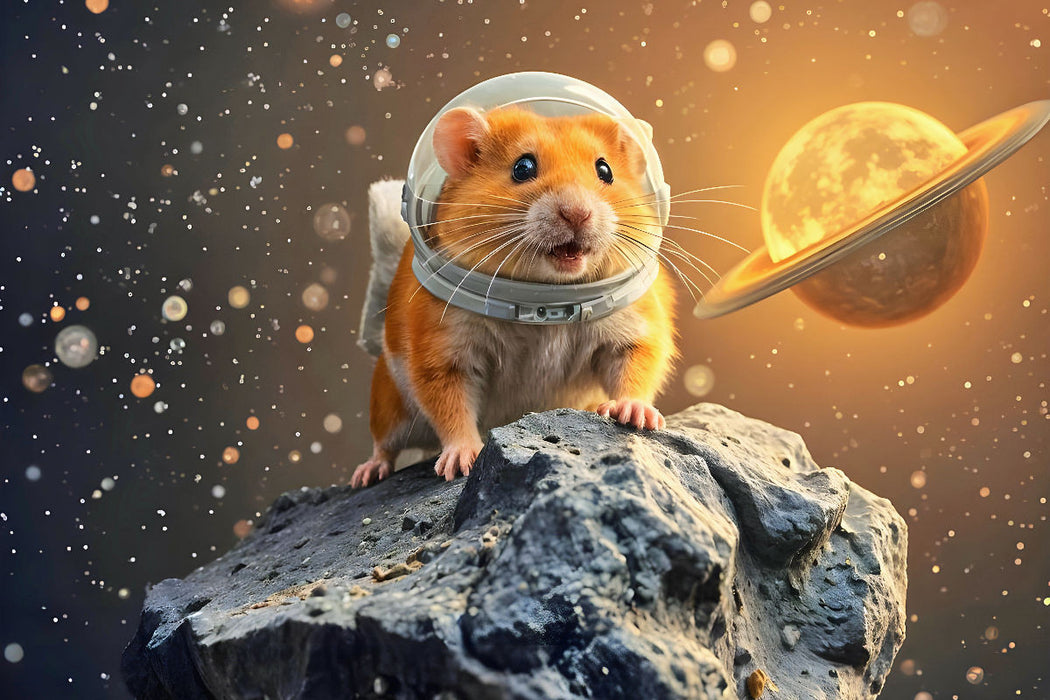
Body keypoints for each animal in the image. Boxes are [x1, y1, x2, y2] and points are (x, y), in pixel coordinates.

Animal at [351, 106, 677, 487]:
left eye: (605, 170)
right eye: (523, 168)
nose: (578, 214)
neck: (545, 298)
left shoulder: (634, 332)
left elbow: (635, 371)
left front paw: (636, 415)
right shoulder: (441, 356)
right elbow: (452, 410)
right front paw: (461, 462)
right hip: (390, 405)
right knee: (384, 444)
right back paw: (367, 474)